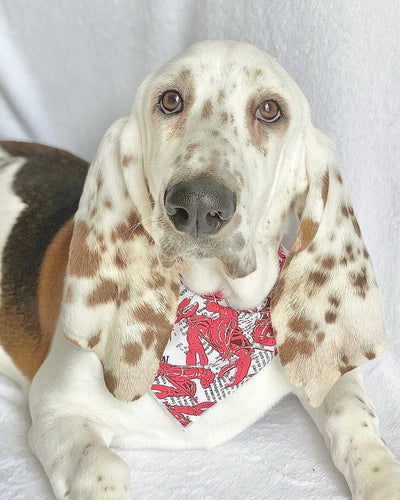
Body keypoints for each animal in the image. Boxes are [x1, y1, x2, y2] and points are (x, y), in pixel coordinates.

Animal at [0, 41, 398, 498]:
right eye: (170, 100)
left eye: (269, 109)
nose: (196, 205)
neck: (216, 301)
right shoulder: (57, 406)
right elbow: (102, 467)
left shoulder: (322, 367)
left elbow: (351, 412)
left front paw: (383, 478)